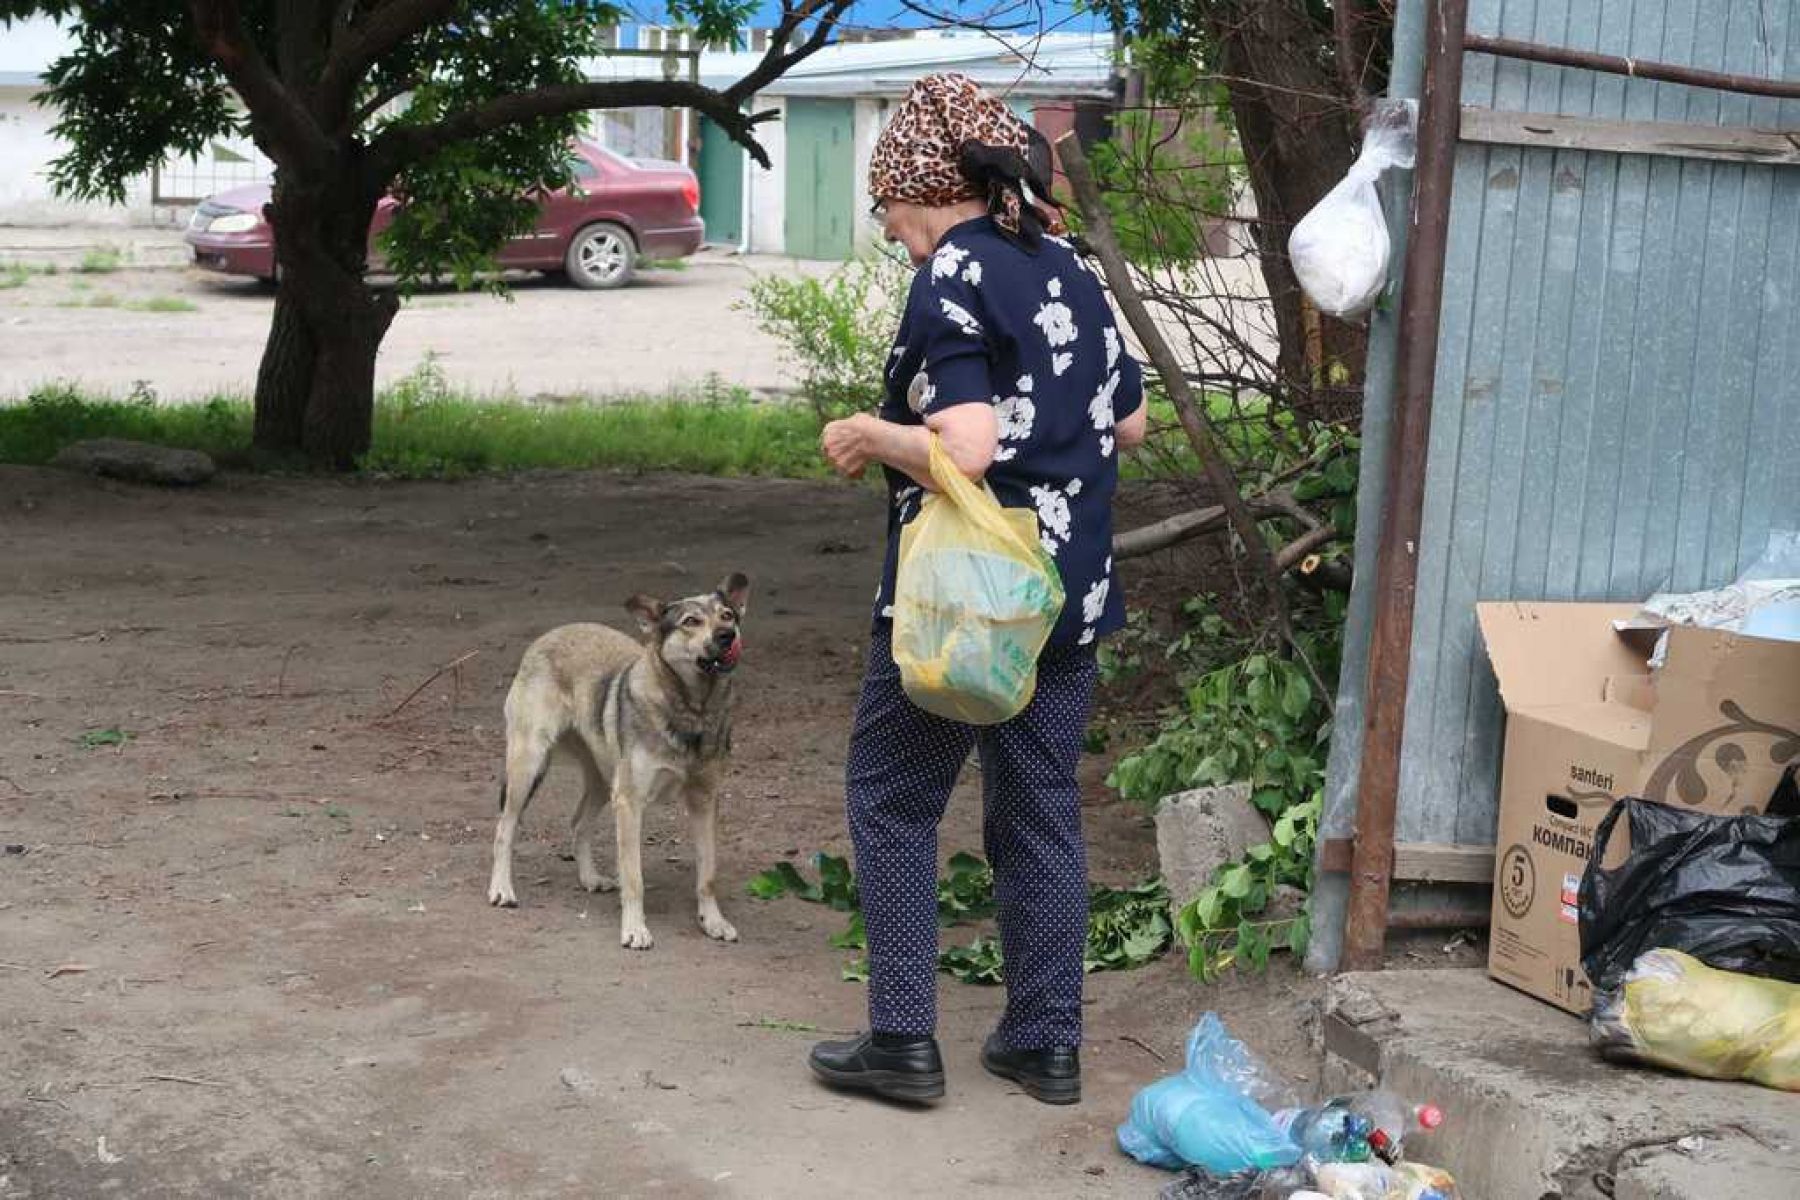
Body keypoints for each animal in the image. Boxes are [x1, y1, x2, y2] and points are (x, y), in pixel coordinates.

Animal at [482, 575, 748, 949]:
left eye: (727, 615)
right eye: (691, 621)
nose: (728, 635)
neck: (692, 711)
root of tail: (550, 634)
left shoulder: (704, 801)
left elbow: (708, 874)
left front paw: (713, 922)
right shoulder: (630, 802)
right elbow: (634, 877)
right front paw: (634, 929)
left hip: (603, 781)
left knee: (578, 823)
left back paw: (590, 878)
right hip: (529, 767)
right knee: (505, 828)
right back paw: (502, 889)